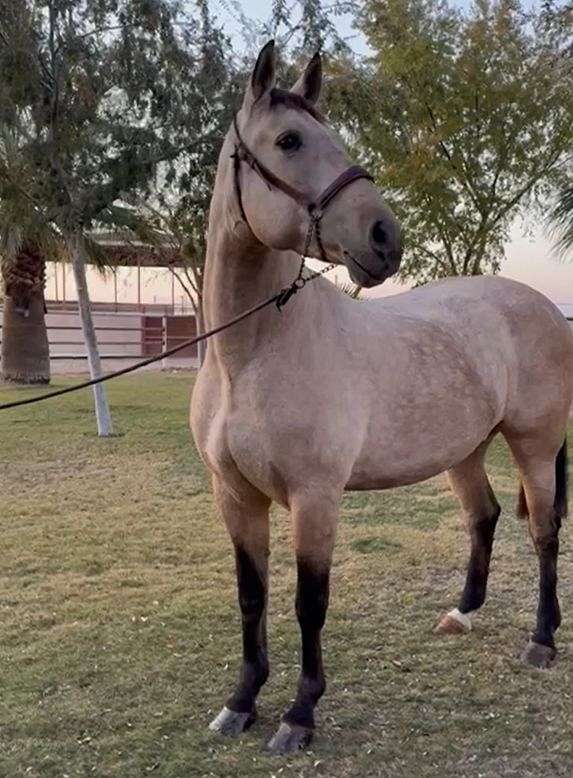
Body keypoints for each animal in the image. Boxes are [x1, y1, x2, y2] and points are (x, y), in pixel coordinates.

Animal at [190, 41, 568, 752]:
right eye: (289, 140)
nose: (384, 238)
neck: (249, 358)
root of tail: (545, 307)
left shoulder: (315, 497)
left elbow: (310, 602)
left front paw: (299, 714)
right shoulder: (236, 496)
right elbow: (251, 597)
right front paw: (241, 702)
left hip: (533, 446)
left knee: (545, 533)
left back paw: (542, 640)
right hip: (464, 451)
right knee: (485, 516)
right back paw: (461, 614)